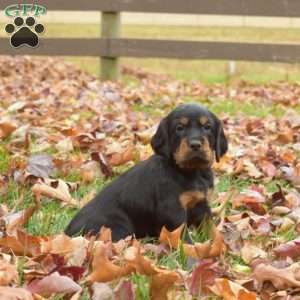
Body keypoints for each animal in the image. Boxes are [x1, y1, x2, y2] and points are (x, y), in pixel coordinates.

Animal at [63, 103, 227, 241]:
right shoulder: (172, 210)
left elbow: (211, 229)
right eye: (179, 128)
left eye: (207, 127)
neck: (191, 171)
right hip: (116, 228)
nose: (195, 144)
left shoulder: (202, 205)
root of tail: (67, 233)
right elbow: (183, 238)